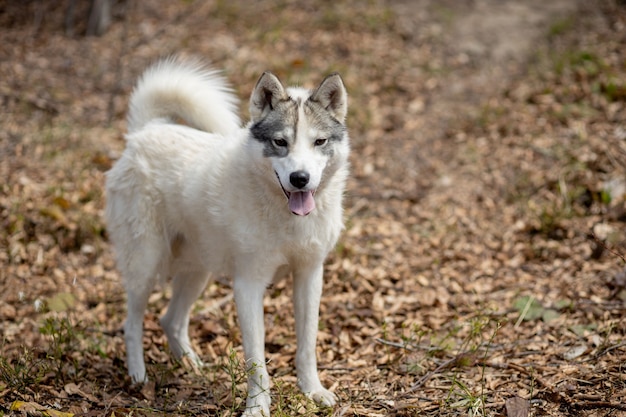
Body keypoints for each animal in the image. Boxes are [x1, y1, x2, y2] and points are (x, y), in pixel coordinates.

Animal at [106, 56, 348, 416]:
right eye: (280, 142)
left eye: (319, 142)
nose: (300, 178)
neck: (285, 216)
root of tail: (143, 132)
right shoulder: (248, 286)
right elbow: (256, 362)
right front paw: (257, 408)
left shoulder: (309, 277)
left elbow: (306, 346)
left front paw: (312, 391)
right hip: (144, 267)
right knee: (133, 323)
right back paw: (138, 375)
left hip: (197, 273)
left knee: (170, 320)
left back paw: (192, 367)